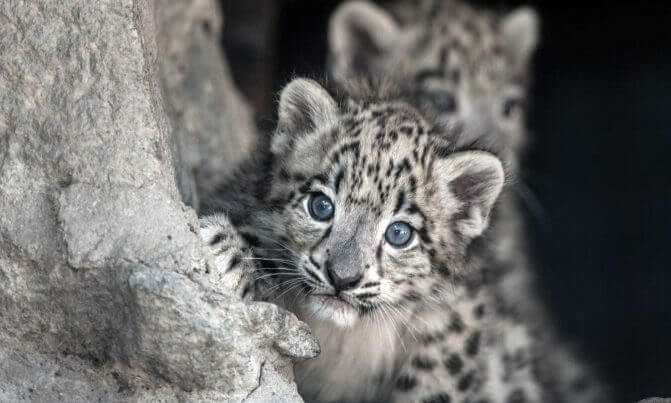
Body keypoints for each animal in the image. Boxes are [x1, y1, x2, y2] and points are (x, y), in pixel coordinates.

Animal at [200, 77, 578, 402]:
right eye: (321, 206)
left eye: (399, 233)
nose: (342, 277)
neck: (341, 340)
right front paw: (231, 250)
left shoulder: (455, 321)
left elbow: (438, 379)